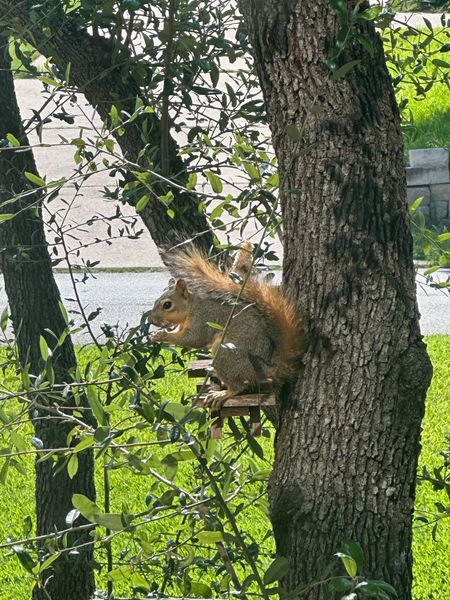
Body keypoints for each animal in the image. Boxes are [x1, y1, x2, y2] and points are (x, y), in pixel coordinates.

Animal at [148, 243, 302, 408]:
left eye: (167, 305)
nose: (151, 320)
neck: (191, 309)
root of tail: (268, 368)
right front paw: (155, 334)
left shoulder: (203, 319)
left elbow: (194, 339)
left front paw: (161, 335)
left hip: (226, 353)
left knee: (240, 386)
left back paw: (222, 393)